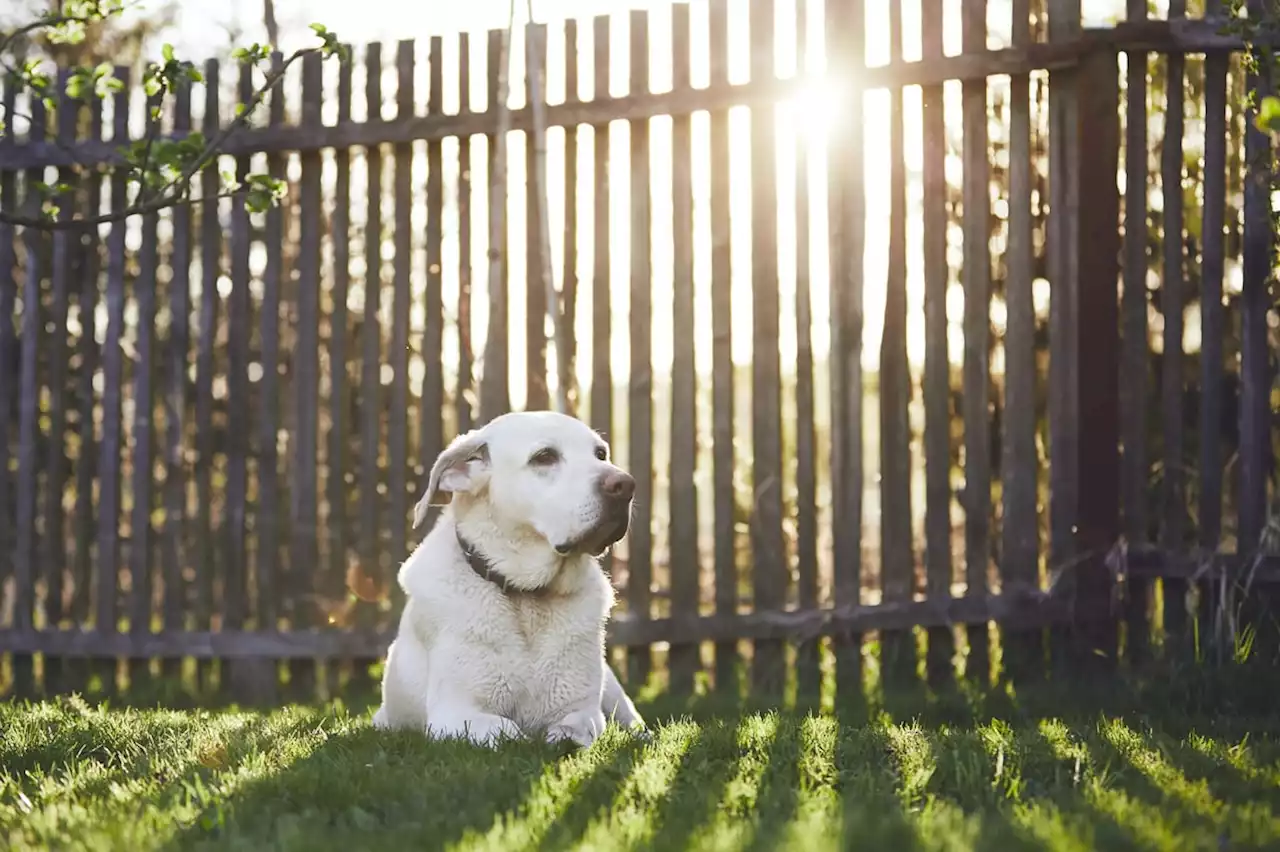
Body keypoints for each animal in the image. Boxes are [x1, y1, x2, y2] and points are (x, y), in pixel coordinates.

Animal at [371, 409, 650, 747]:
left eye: (600, 454)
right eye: (544, 457)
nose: (625, 484)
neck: (527, 597)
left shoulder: (582, 710)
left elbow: (575, 728)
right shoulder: (456, 714)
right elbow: (510, 731)